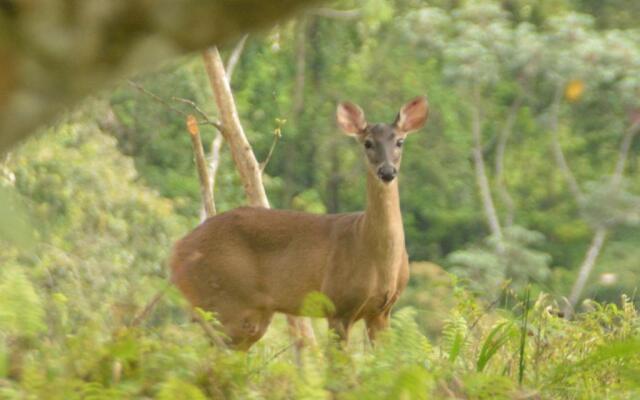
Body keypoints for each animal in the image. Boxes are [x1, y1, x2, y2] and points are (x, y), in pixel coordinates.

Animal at [171, 95, 430, 348]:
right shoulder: (337, 304)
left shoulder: (381, 311)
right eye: (367, 143)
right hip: (222, 302)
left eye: (400, 142)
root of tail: (176, 252)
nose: (387, 172)